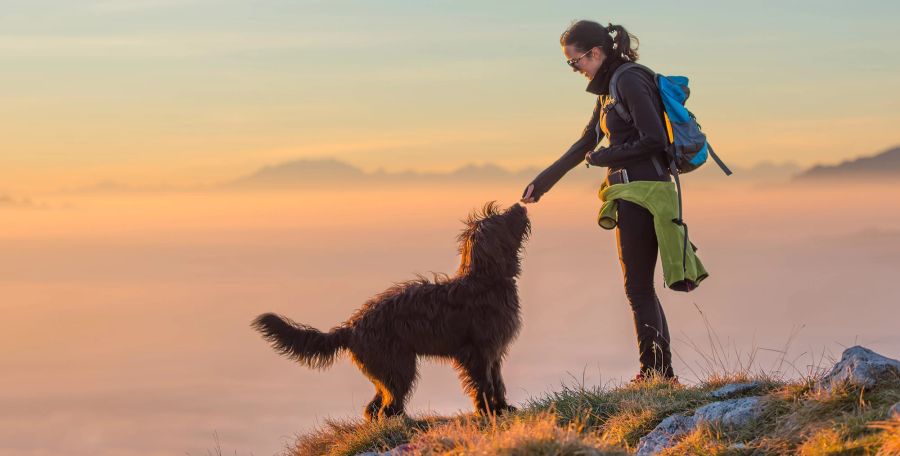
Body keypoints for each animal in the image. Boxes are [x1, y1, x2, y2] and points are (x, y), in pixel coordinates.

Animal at [250, 202, 532, 420]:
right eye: (501, 218)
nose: (520, 206)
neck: (485, 280)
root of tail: (351, 327)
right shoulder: (477, 353)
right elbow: (483, 384)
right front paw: (488, 412)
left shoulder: (494, 351)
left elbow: (497, 381)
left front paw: (502, 408)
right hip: (399, 365)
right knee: (387, 405)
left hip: (386, 368)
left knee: (374, 407)